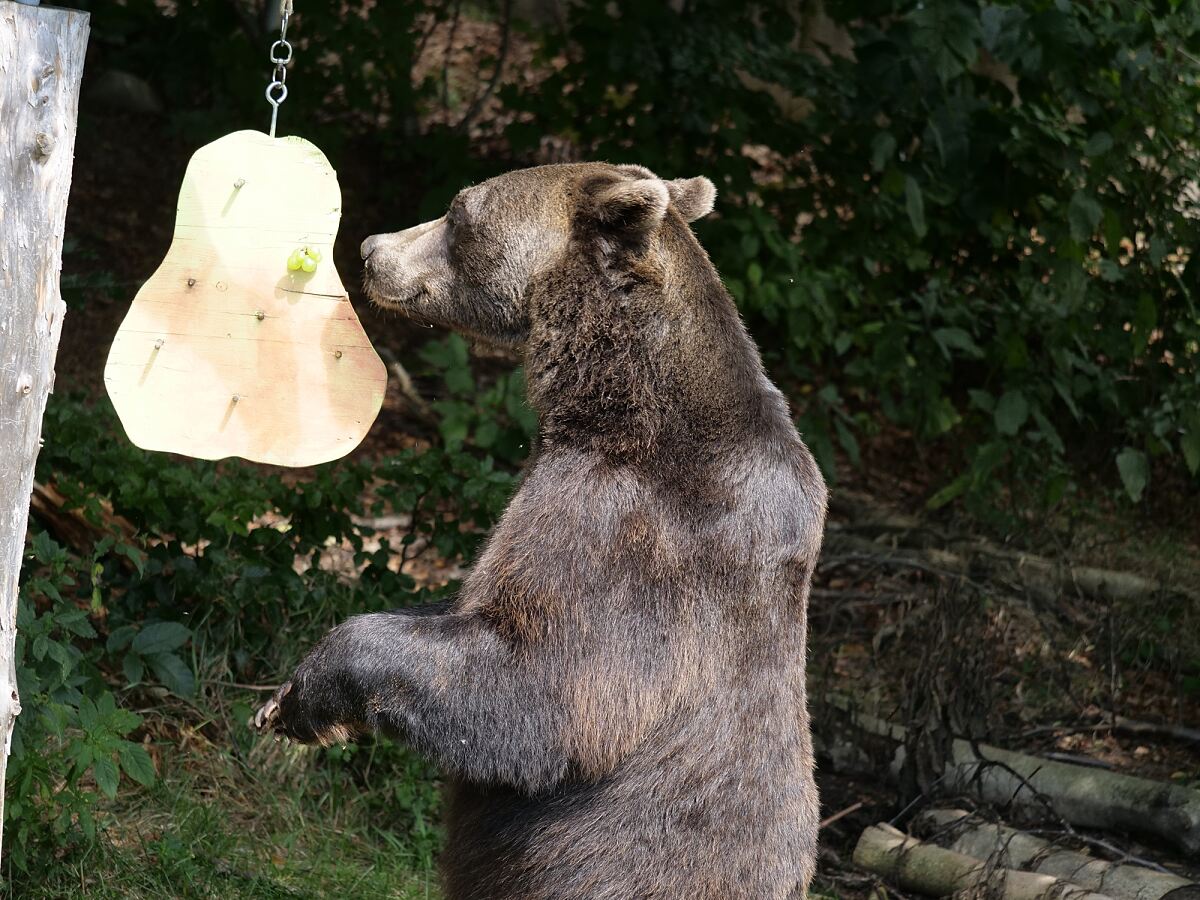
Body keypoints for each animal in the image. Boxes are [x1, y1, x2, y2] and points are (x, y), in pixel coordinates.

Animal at [255, 164, 825, 900]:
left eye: (459, 211)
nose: (372, 248)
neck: (618, 401)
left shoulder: (632, 530)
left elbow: (545, 686)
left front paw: (301, 695)